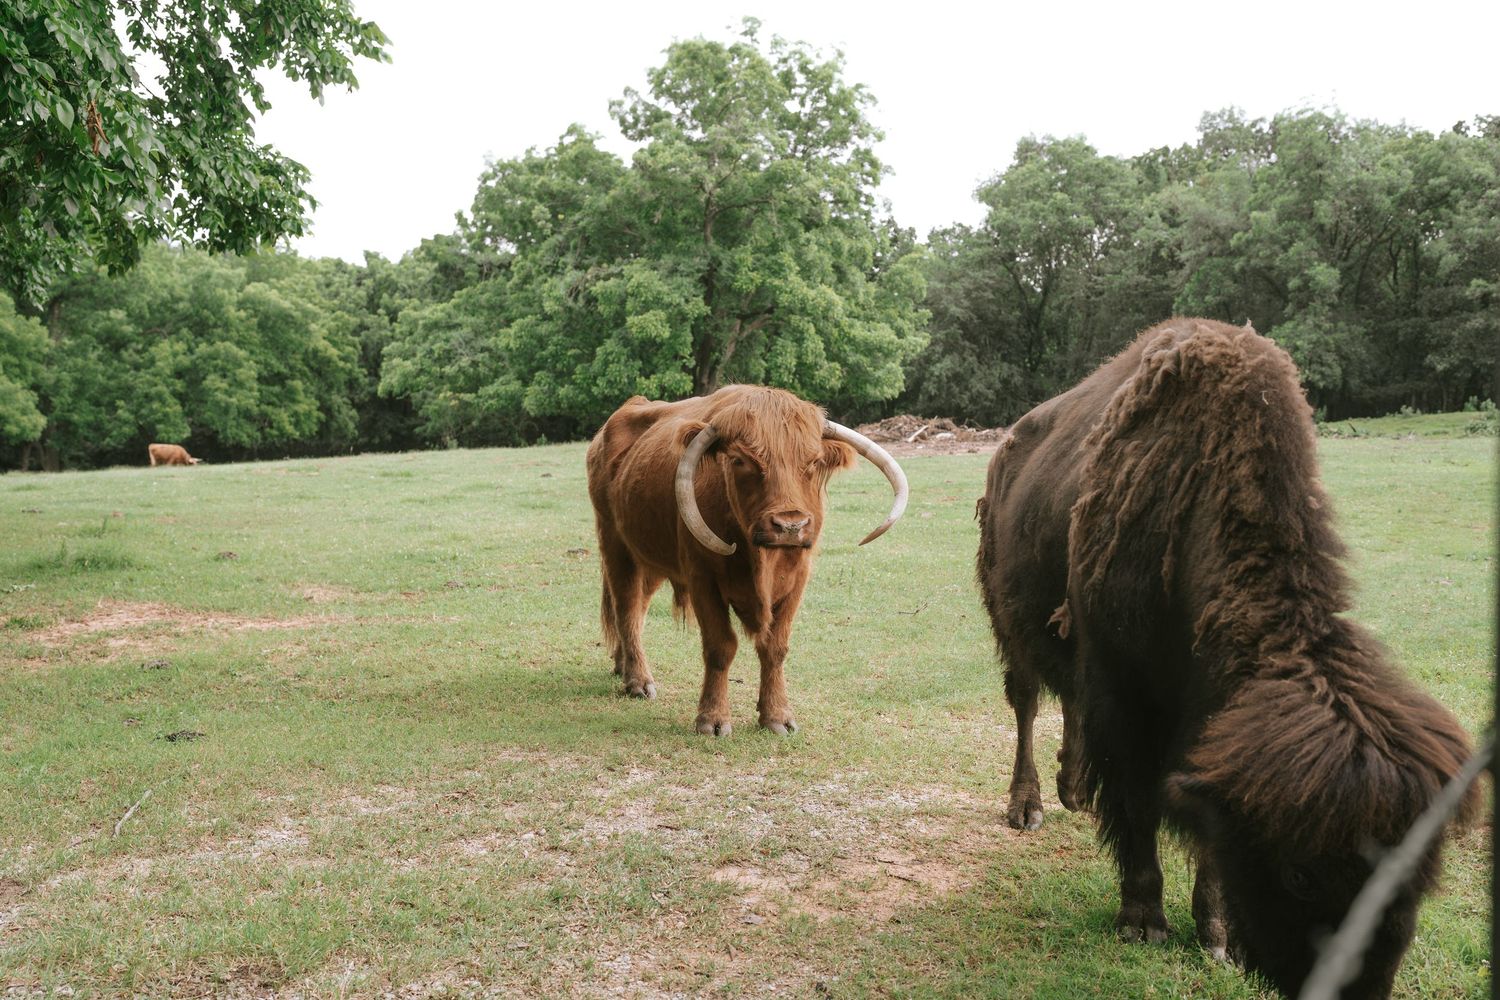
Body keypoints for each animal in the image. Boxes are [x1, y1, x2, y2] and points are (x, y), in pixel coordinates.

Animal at [586, 385, 907, 736]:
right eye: (741, 460)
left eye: (814, 460)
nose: (790, 525)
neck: (761, 560)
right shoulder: (702, 578)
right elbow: (720, 646)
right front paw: (712, 719)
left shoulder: (798, 580)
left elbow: (775, 647)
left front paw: (777, 716)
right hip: (615, 544)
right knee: (627, 607)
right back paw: (638, 681)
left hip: (649, 556)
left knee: (638, 607)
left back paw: (623, 665)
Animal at [975, 318, 1477, 998]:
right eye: (1298, 875)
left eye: (1418, 880)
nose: (1351, 987)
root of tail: (1006, 451)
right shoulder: (1126, 695)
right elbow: (1136, 804)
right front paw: (1143, 922)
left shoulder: (1203, 725)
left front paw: (1215, 936)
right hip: (1010, 623)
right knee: (1026, 701)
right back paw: (1027, 807)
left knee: (1068, 707)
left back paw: (1074, 790)